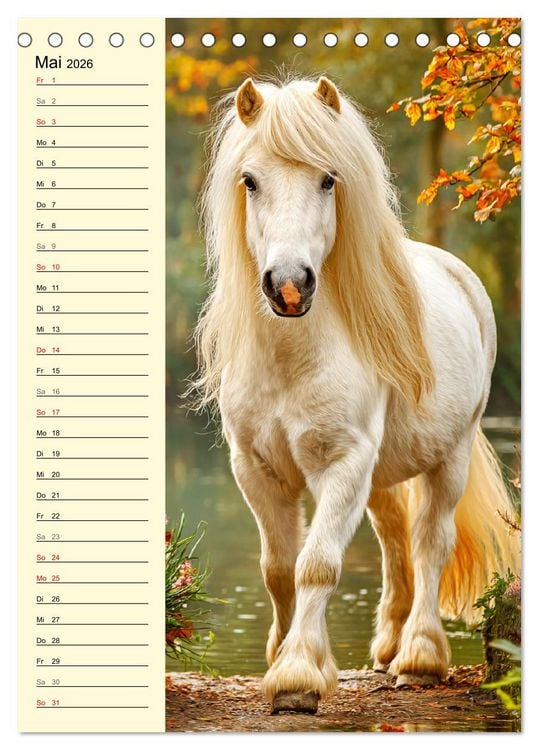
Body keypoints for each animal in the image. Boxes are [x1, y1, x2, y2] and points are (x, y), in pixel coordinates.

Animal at [192, 75, 520, 715]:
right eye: (250, 180)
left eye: (328, 179)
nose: (289, 286)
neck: (293, 358)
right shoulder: (257, 470)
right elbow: (278, 569)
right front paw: (287, 658)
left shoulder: (342, 464)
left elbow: (317, 566)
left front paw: (297, 676)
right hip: (383, 476)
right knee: (395, 546)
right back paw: (388, 649)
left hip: (449, 457)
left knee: (429, 544)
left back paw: (418, 658)